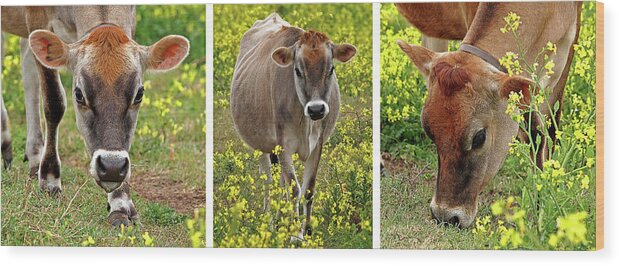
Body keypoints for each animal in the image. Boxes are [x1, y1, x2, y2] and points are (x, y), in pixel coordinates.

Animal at [0, 5, 189, 227]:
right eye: (79, 94)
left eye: (139, 94)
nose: (112, 166)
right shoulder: (37, 17)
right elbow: (54, 100)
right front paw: (50, 179)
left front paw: (120, 204)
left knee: (27, 63)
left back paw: (33, 156)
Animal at [231, 12, 358, 238]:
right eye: (297, 71)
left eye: (331, 69)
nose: (316, 109)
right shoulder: (283, 145)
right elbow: (294, 189)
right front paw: (294, 234)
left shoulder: (318, 144)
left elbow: (308, 189)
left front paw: (306, 230)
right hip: (261, 145)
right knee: (268, 180)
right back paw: (270, 221)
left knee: (280, 181)